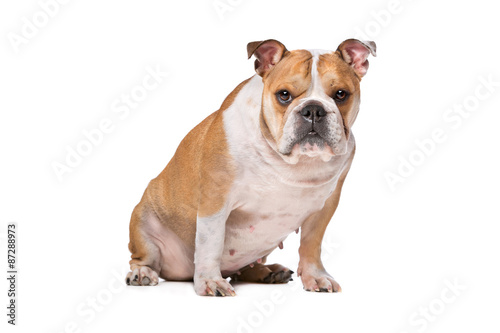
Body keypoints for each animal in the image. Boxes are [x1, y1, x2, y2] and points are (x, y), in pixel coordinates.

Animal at [125, 37, 376, 294]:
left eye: (341, 94)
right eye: (284, 95)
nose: (313, 109)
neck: (291, 160)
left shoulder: (324, 206)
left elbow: (311, 244)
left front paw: (315, 276)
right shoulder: (215, 201)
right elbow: (211, 243)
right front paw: (209, 281)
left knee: (244, 269)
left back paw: (269, 272)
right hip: (143, 222)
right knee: (143, 258)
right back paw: (142, 273)